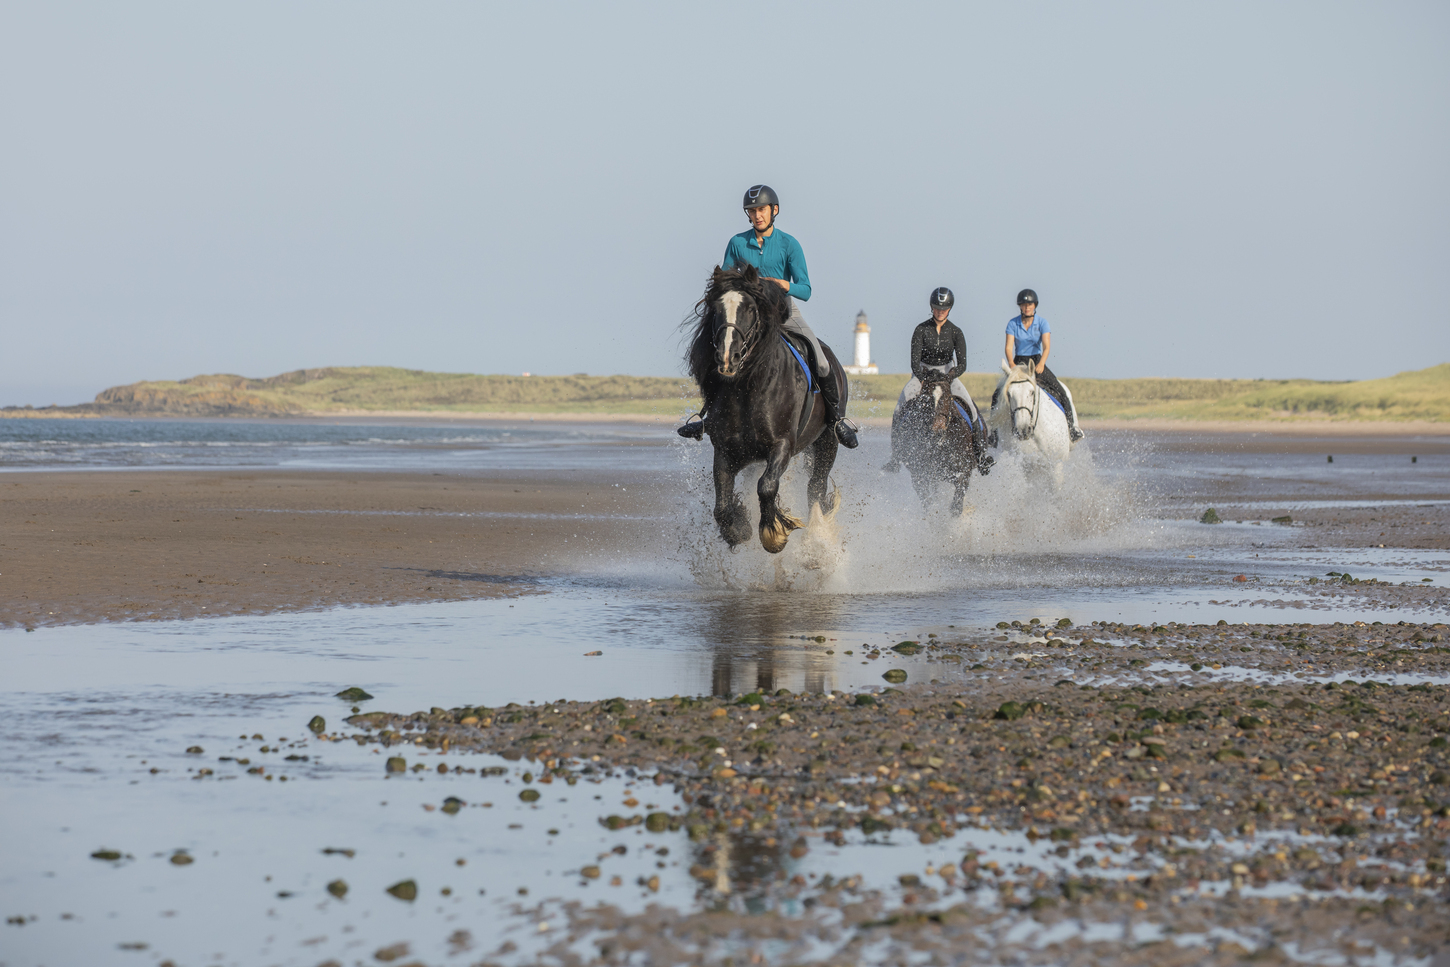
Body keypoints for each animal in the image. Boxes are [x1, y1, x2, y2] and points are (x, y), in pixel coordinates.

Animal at [684, 265, 846, 556]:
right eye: (716, 307)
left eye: (750, 308)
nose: (727, 358)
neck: (749, 389)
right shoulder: (725, 450)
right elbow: (721, 505)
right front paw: (739, 529)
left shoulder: (782, 445)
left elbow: (767, 486)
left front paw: (773, 534)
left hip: (828, 441)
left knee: (815, 488)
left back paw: (816, 542)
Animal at [887, 376, 980, 519]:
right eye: (925, 399)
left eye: (948, 397)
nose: (937, 431)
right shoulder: (920, 476)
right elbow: (929, 503)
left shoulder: (964, 472)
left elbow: (956, 505)